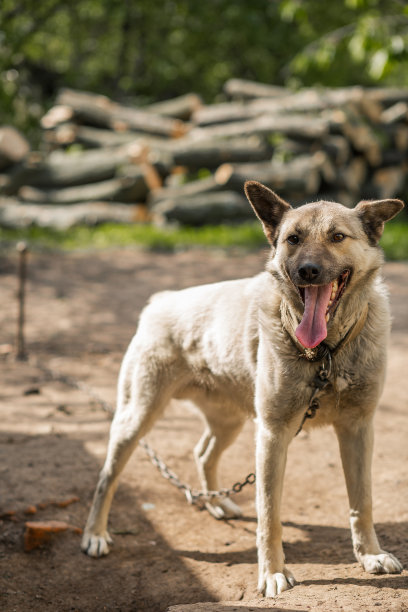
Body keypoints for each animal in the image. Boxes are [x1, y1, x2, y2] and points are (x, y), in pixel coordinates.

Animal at [81, 179, 404, 596]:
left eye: (337, 237)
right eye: (293, 239)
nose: (308, 271)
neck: (326, 353)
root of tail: (162, 300)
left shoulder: (358, 428)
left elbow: (362, 502)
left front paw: (370, 555)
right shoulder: (272, 434)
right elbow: (270, 514)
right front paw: (272, 574)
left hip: (229, 422)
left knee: (203, 453)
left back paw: (217, 504)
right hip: (136, 418)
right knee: (107, 477)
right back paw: (95, 534)